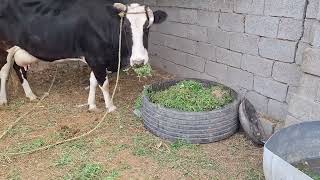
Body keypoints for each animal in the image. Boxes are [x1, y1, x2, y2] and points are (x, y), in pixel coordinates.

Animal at [0, 0, 169, 112]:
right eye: (125, 28)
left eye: (147, 27)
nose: (139, 61)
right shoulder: (96, 58)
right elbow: (104, 84)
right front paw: (110, 106)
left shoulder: (97, 59)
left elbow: (93, 81)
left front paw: (92, 105)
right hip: (5, 49)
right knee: (4, 72)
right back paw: (3, 100)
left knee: (18, 69)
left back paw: (31, 95)